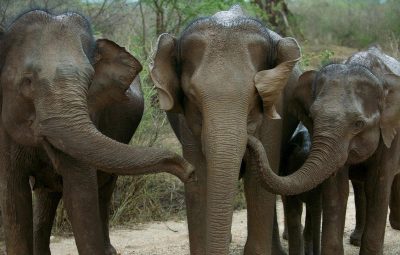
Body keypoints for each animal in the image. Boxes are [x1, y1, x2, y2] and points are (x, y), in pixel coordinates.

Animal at [0, 9, 194, 255]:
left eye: (89, 80)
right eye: (27, 81)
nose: (190, 171)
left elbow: (81, 196)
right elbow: (14, 201)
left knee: (102, 189)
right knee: (47, 196)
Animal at [150, 4, 300, 255]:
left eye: (256, 95)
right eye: (192, 95)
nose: (250, 138)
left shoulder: (274, 112)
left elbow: (257, 185)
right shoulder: (187, 124)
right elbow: (200, 180)